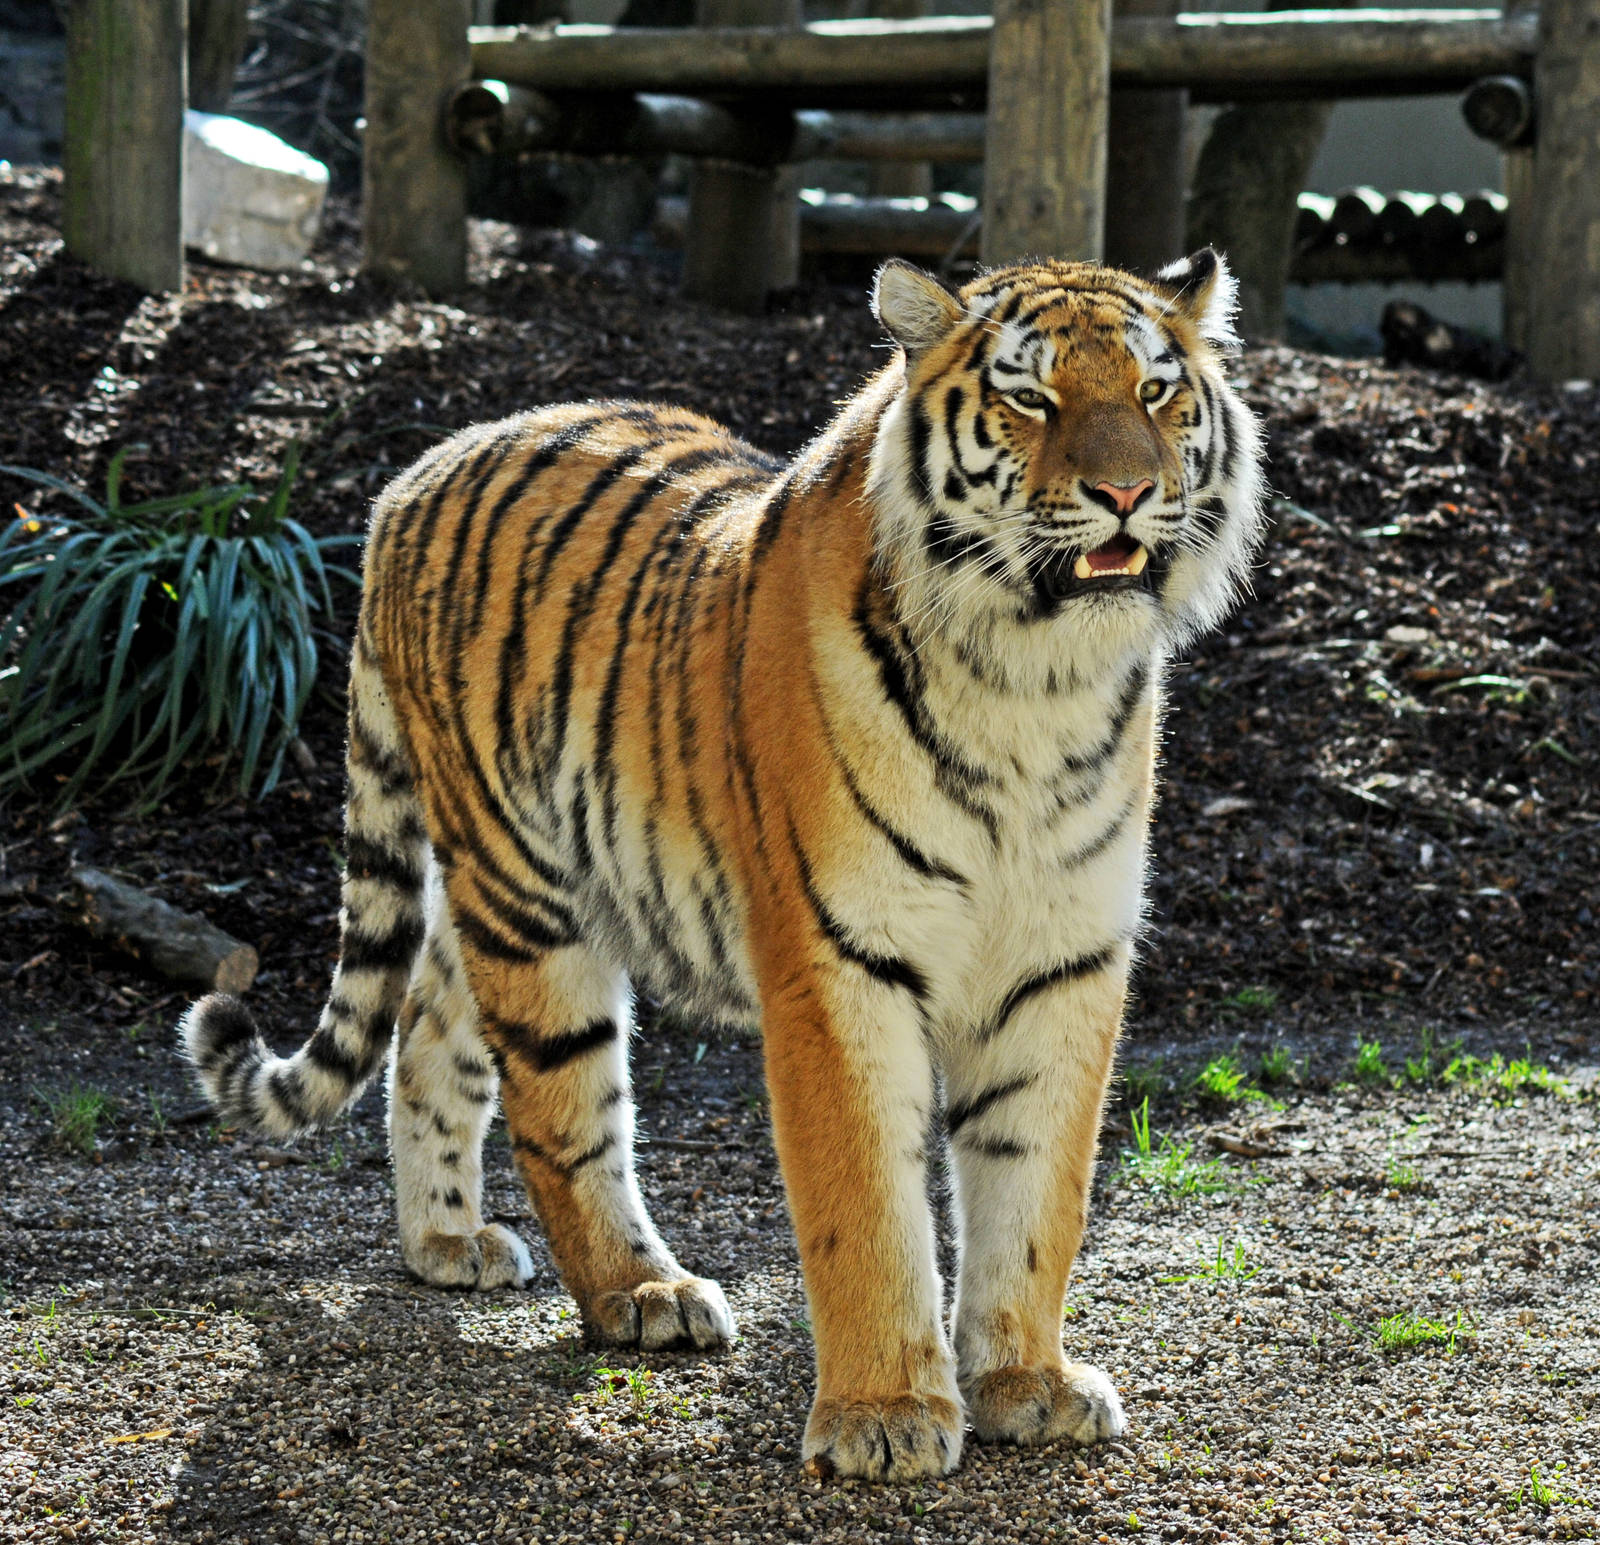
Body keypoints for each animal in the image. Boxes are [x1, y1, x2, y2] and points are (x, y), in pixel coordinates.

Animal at [178, 249, 1265, 1482]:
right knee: (560, 1108)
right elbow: (866, 1207)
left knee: (426, 1026)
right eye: (1030, 398)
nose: (1127, 491)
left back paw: (445, 1239)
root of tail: (410, 478)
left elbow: (1037, 1191)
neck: (1033, 684)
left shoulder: (1062, 962)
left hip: (495, 893)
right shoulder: (839, 964)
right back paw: (643, 1293)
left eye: (1156, 393)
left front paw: (1026, 1384)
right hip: (530, 901)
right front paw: (885, 1416)